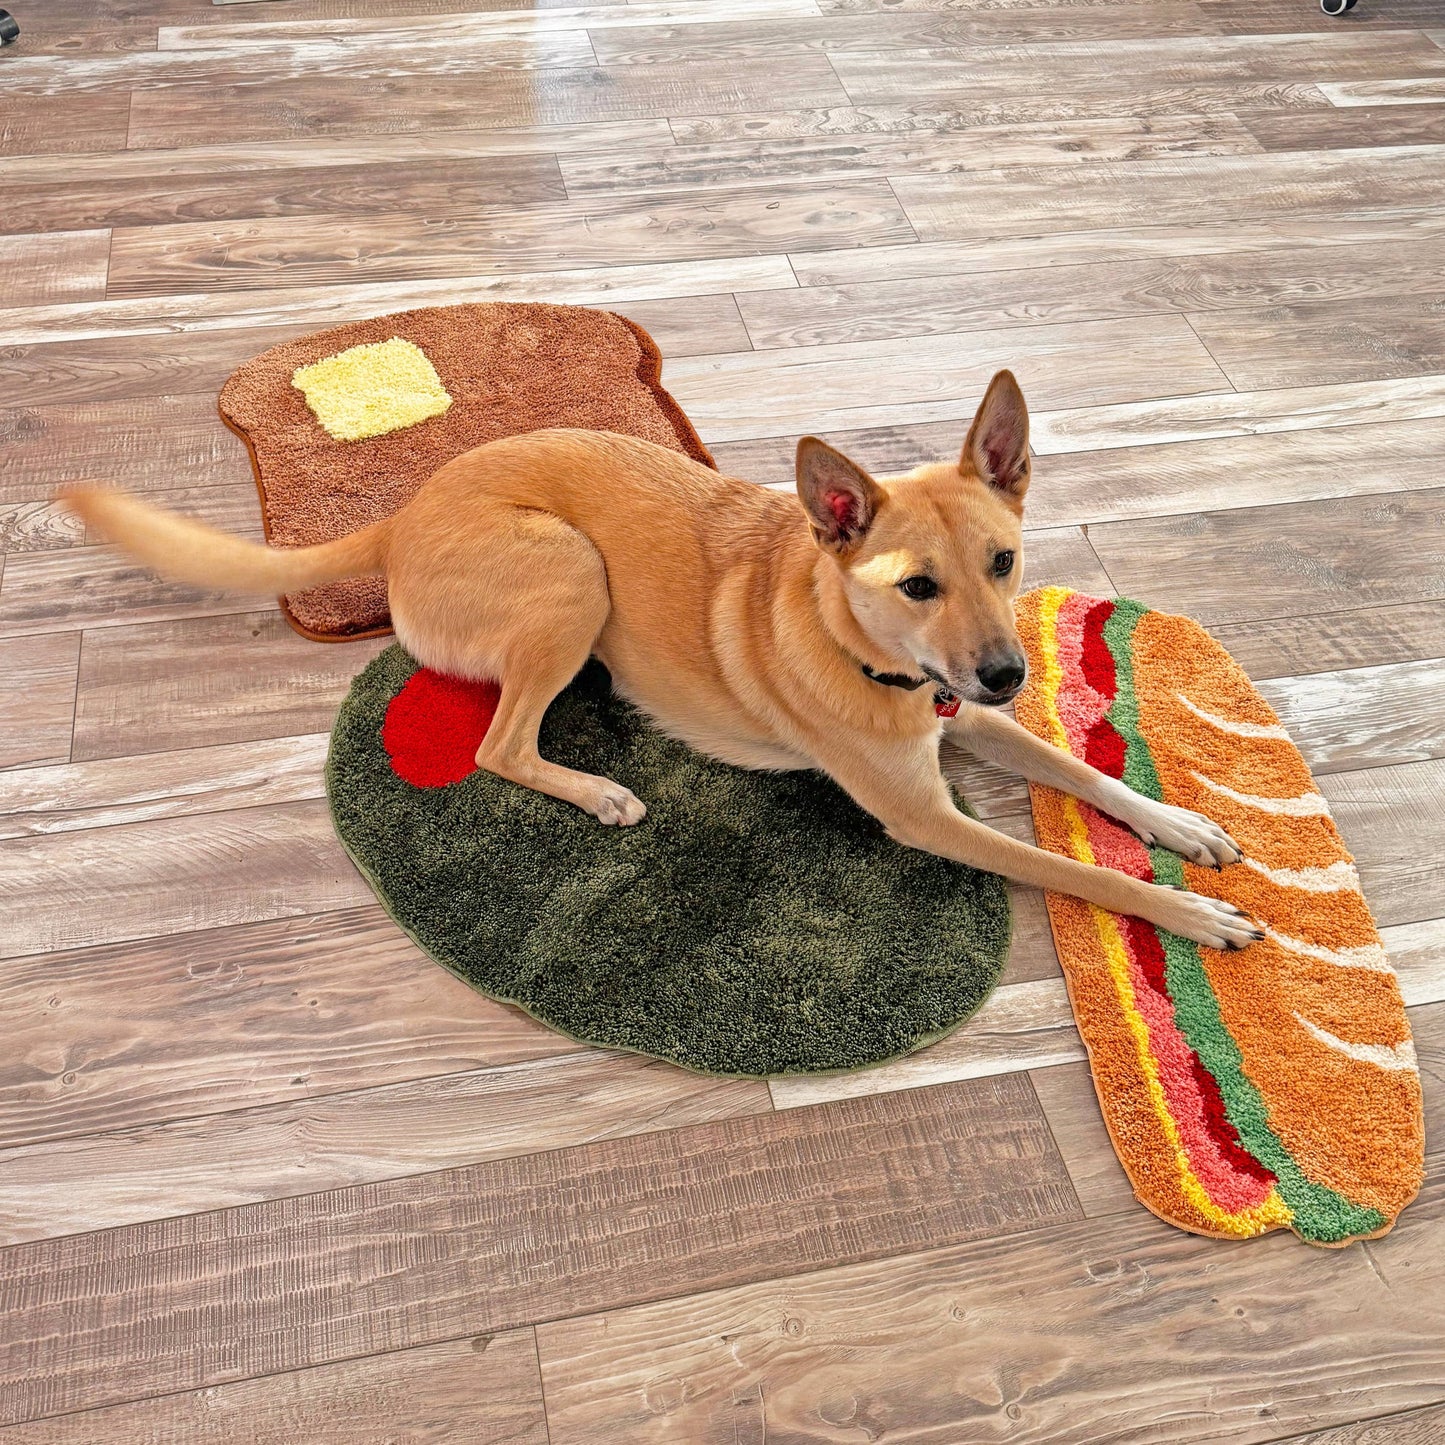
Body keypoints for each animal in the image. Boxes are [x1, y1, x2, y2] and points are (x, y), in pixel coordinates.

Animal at [65, 369, 1265, 947]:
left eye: (1003, 562)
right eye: (915, 585)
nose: (1013, 673)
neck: (853, 641)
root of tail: (403, 513)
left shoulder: (961, 709)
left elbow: (1080, 771)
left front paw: (1180, 825)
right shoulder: (922, 814)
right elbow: (1077, 870)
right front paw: (1190, 915)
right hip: (569, 572)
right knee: (498, 747)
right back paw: (596, 790)